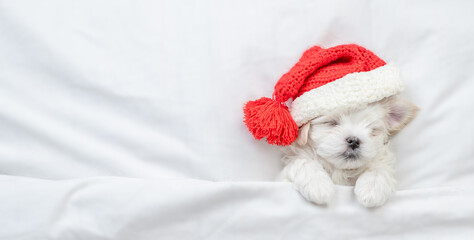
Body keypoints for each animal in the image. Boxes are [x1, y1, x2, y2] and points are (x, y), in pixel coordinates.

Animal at [278, 96, 418, 207]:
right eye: (332, 123)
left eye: (372, 130)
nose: (354, 141)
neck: (341, 171)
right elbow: (303, 162)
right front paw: (318, 185)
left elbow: (379, 168)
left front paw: (372, 188)